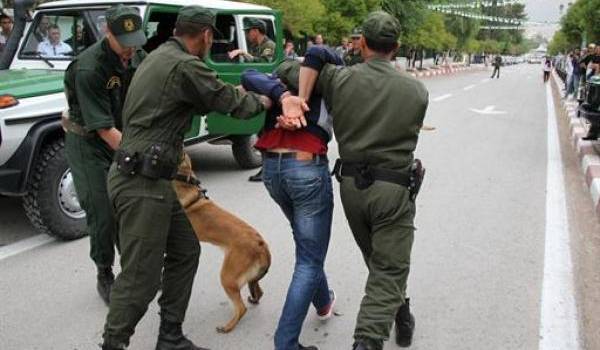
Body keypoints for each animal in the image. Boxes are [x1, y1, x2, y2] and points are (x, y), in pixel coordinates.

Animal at [171, 154, 270, 334]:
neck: (186, 182)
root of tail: (261, 244)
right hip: (250, 277)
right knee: (258, 292)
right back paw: (253, 300)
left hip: (227, 277)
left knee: (241, 308)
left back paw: (227, 327)